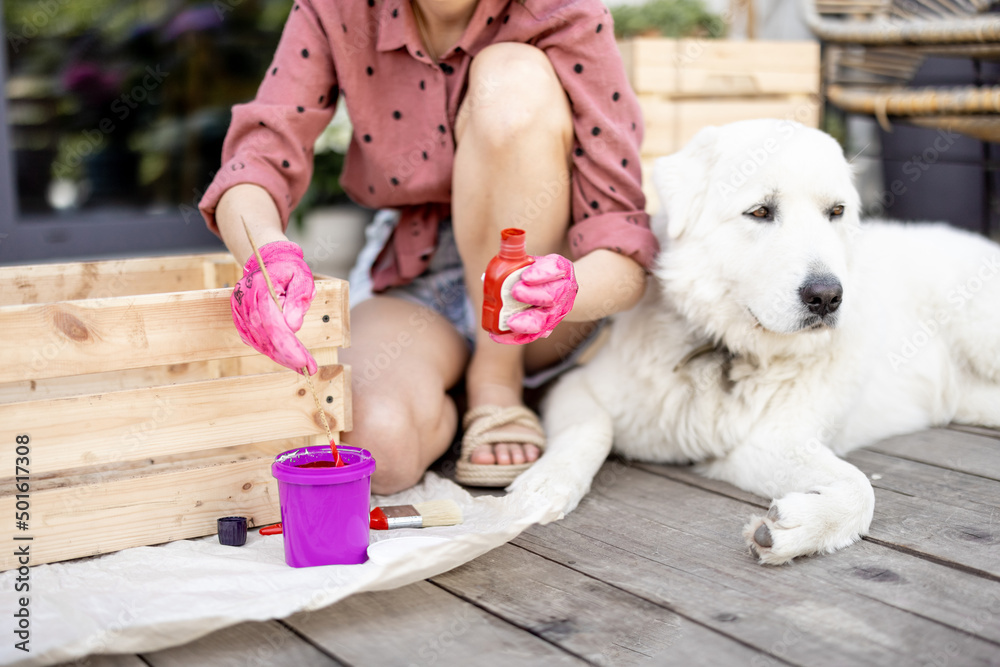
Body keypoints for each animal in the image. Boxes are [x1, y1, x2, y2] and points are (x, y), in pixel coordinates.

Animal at [516, 118, 1000, 564]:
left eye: (836, 212)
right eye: (761, 212)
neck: (732, 349)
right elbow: (588, 431)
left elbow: (861, 488)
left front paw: (797, 529)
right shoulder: (577, 386)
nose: (827, 296)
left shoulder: (782, 437)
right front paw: (543, 486)